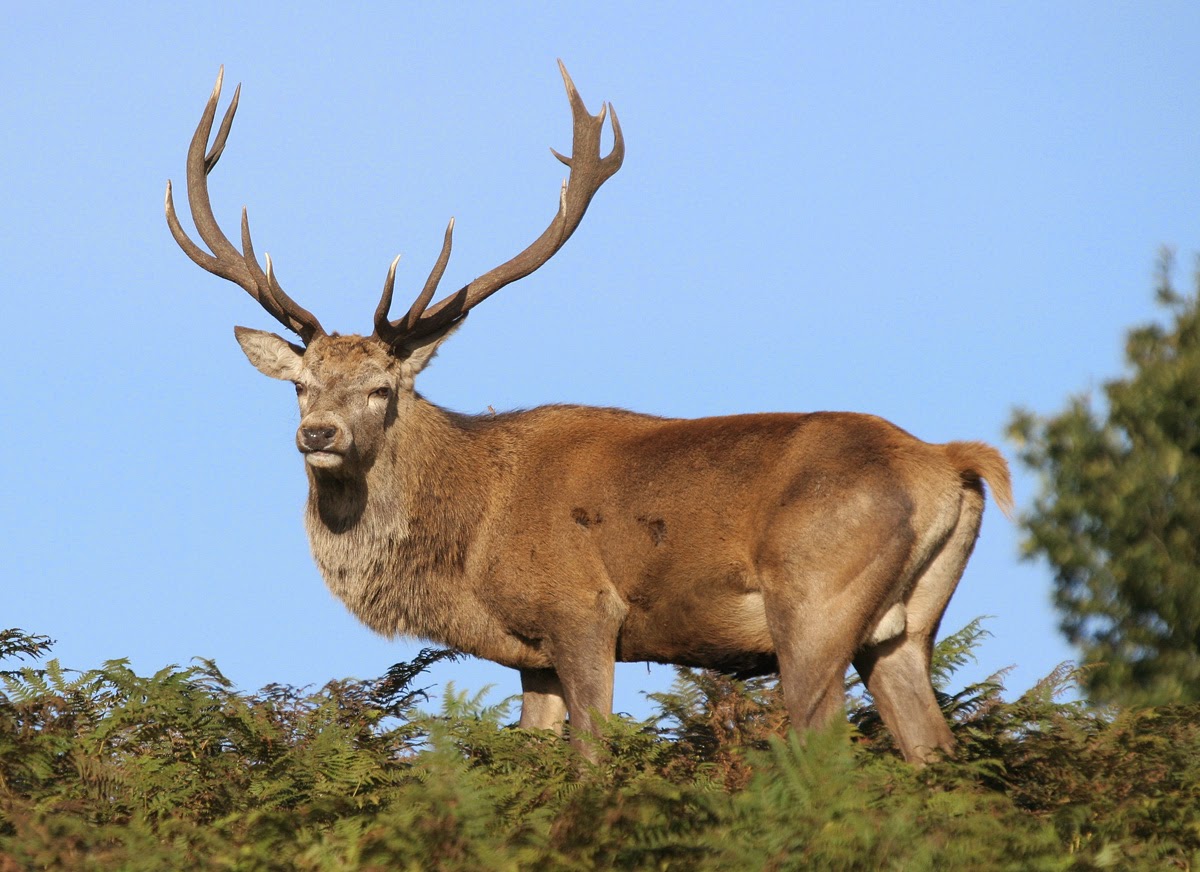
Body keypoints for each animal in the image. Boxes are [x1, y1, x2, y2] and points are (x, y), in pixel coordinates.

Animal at [166, 63, 1013, 764]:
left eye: (383, 387)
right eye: (301, 384)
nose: (317, 434)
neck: (470, 541)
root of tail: (949, 462)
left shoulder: (583, 612)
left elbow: (591, 761)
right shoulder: (531, 655)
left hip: (813, 600)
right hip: (905, 627)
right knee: (935, 752)